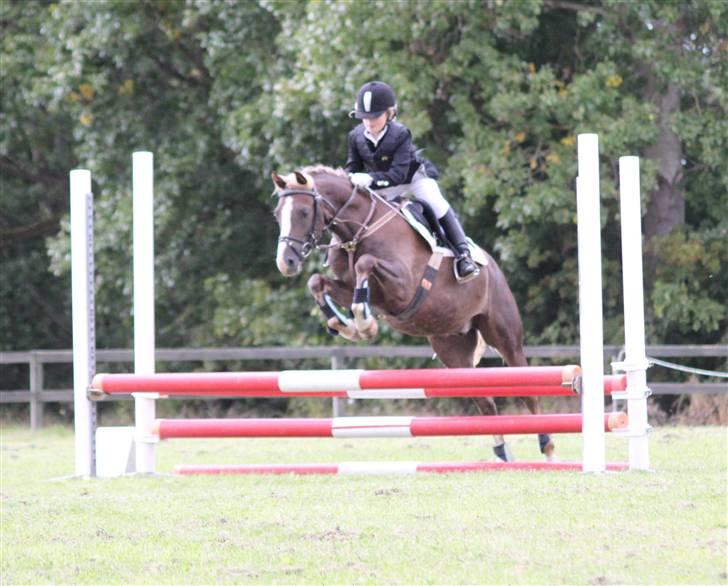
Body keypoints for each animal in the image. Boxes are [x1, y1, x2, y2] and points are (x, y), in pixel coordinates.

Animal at [270, 165, 556, 460]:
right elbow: (316, 281)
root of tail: (494, 268)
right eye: (277, 214)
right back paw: (502, 456)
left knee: (528, 392)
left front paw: (364, 324)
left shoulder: (402, 289)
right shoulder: (353, 289)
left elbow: (365, 263)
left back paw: (548, 450)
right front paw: (345, 326)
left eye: (304, 212)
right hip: (452, 349)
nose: (286, 262)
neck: (358, 231)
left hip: (505, 337)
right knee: (485, 402)